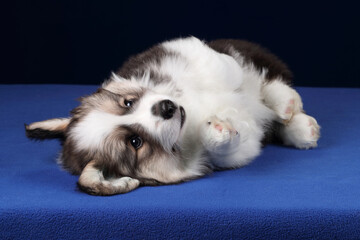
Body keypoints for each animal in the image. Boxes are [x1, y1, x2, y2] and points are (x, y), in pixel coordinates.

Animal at [24, 37, 320, 195]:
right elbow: (231, 145)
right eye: (135, 142)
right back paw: (302, 129)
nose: (166, 107)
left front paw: (224, 73)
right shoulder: (229, 156)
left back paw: (286, 104)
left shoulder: (175, 54)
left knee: (264, 80)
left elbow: (217, 65)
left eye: (128, 103)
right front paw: (218, 131)